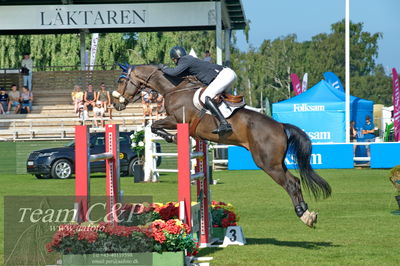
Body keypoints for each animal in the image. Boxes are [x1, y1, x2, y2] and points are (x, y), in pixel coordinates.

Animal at [111, 64, 332, 227]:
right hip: (276, 162)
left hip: (268, 163)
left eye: (122, 80)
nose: (116, 105)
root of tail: (280, 125)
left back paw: (304, 215)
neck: (174, 88)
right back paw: (307, 214)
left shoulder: (176, 120)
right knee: (294, 181)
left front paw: (171, 138)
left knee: (291, 183)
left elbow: (153, 125)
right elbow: (152, 126)